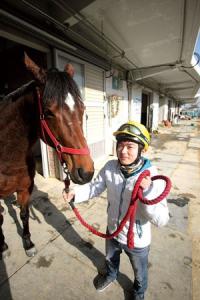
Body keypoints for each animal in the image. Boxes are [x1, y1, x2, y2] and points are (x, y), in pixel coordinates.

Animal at [0, 52, 94, 256]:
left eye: (82, 109)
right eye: (49, 112)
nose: (87, 172)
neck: (8, 157)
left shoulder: (25, 188)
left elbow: (24, 214)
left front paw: (28, 244)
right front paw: (2, 246)